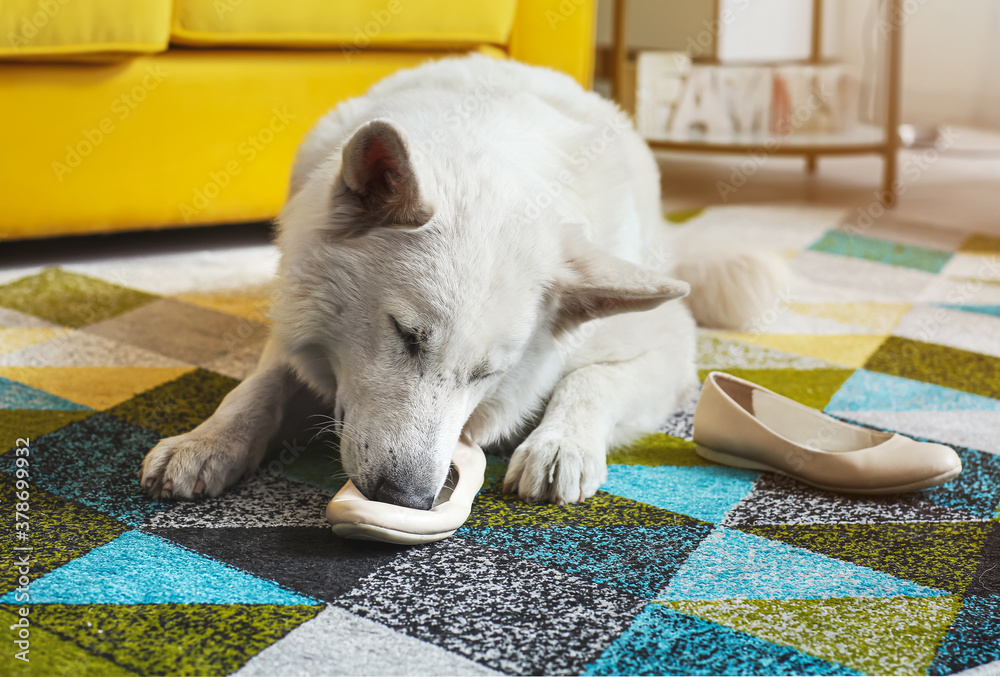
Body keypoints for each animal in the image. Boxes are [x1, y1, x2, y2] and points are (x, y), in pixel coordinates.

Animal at [137, 54, 784, 508]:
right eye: (405, 335)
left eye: (486, 375)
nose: (409, 500)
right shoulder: (291, 318)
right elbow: (260, 384)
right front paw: (208, 441)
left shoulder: (666, 346)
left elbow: (591, 381)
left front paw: (560, 445)